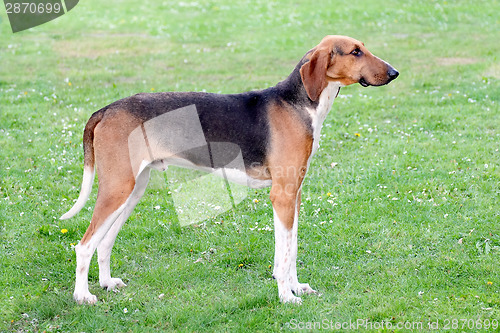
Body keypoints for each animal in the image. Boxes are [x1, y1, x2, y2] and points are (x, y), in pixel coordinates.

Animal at [61, 35, 398, 302]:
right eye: (355, 52)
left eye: (363, 48)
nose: (394, 72)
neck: (298, 103)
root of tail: (106, 109)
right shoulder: (282, 196)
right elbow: (283, 256)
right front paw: (286, 297)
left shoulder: (295, 195)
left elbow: (291, 250)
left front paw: (296, 287)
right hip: (118, 189)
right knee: (84, 246)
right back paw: (83, 296)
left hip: (132, 190)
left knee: (103, 243)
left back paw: (106, 283)